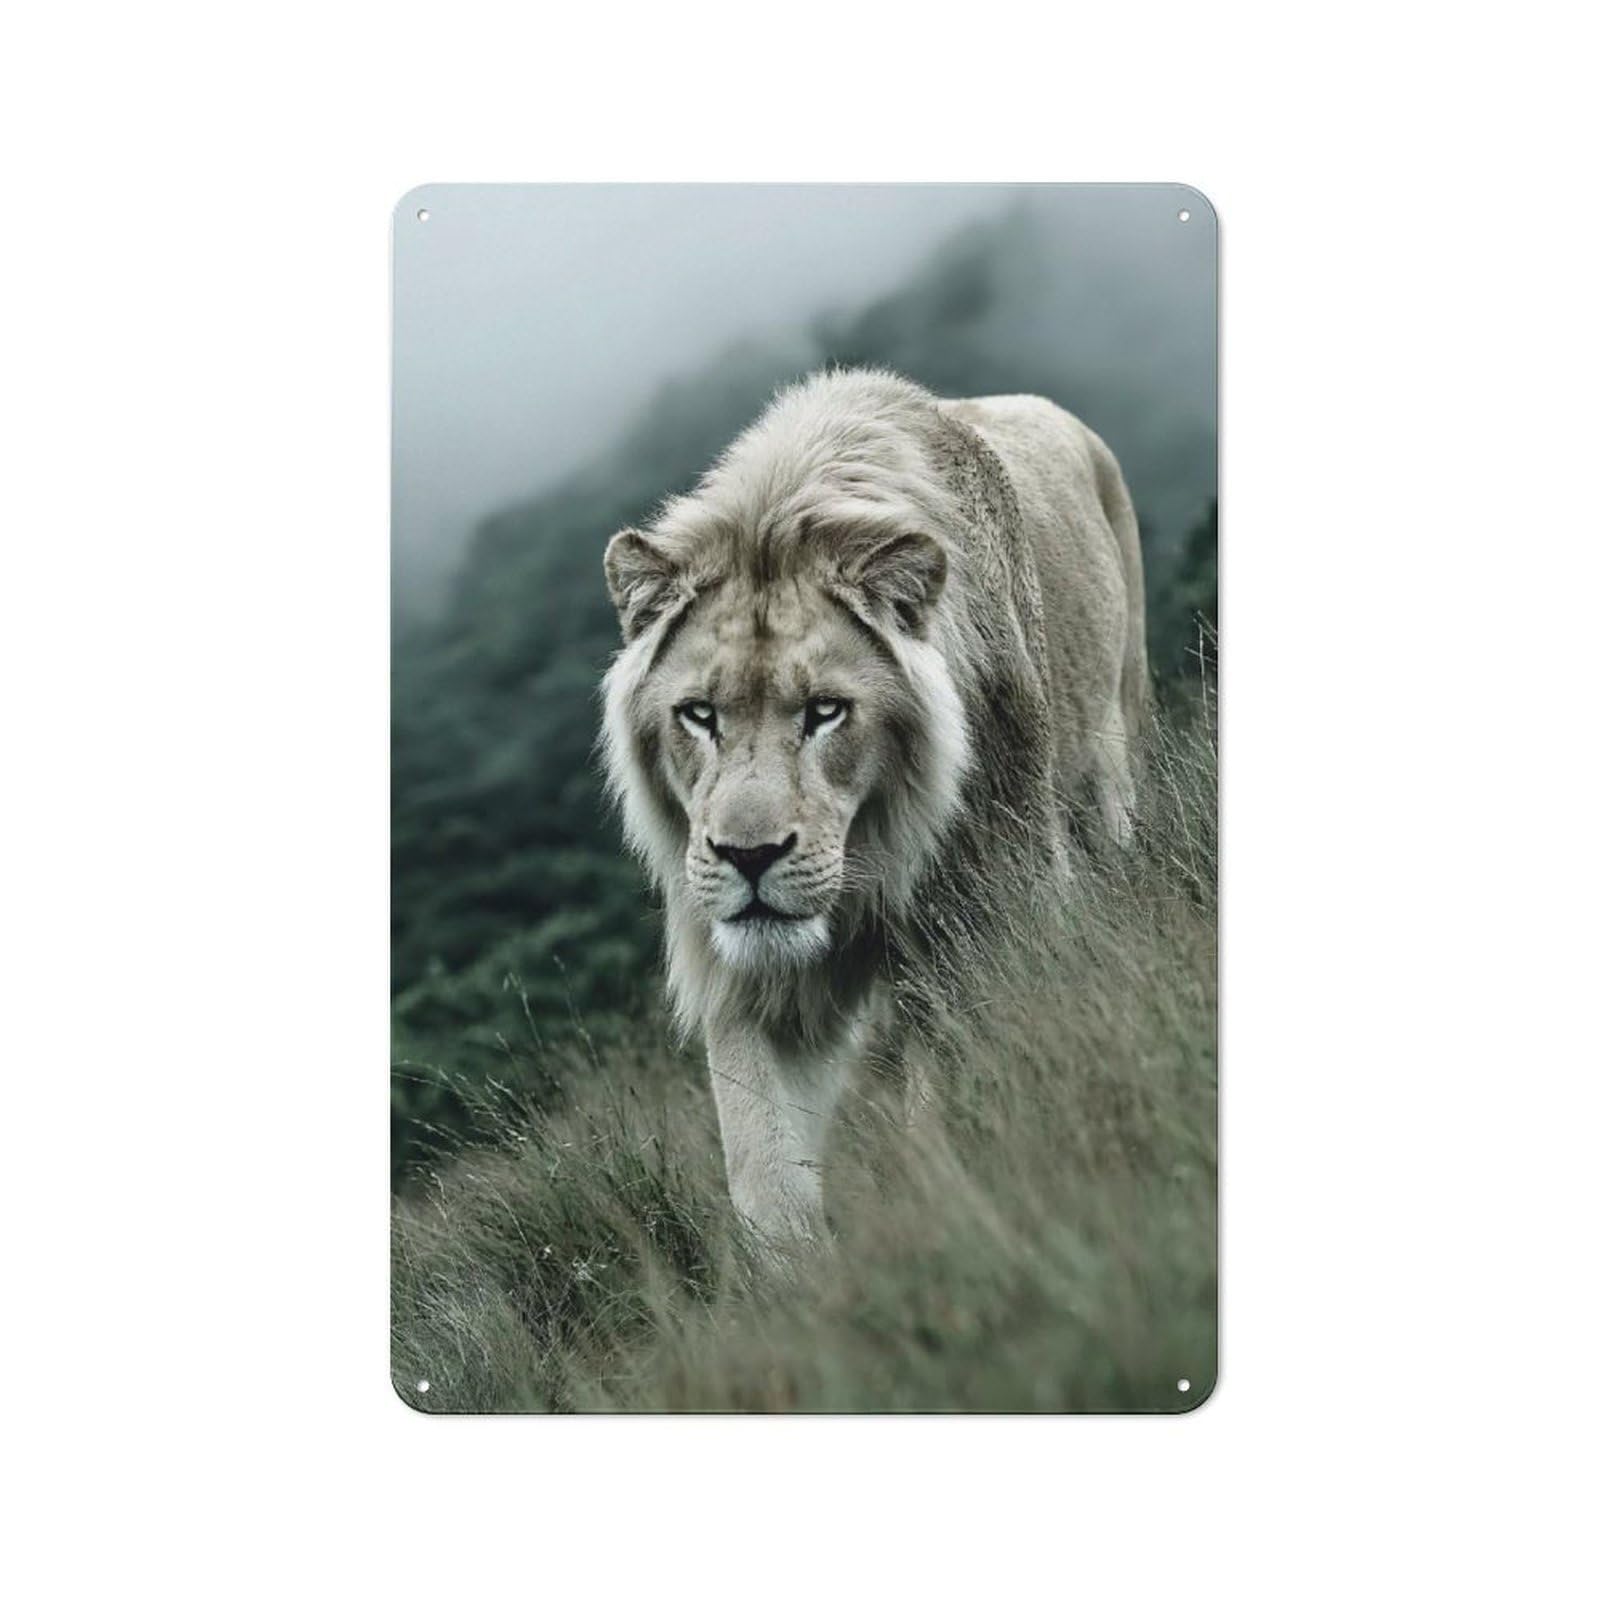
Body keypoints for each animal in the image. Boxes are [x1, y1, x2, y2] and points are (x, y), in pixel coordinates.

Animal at [602, 368, 1146, 1251]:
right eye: (699, 714)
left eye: (825, 712)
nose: (748, 857)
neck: (873, 854)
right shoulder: (749, 986)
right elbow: (765, 1172)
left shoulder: (998, 916)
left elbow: (954, 1089)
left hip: (1112, 744)